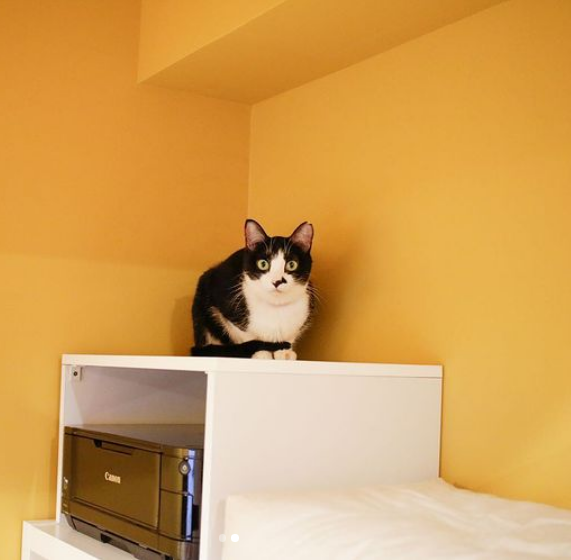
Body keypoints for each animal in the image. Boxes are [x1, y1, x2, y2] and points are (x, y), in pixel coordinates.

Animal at [191, 219, 315, 359]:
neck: (275, 306)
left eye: (292, 264)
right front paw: (262, 353)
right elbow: (246, 335)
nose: (277, 281)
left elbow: (290, 336)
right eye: (263, 264)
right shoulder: (224, 298)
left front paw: (284, 352)